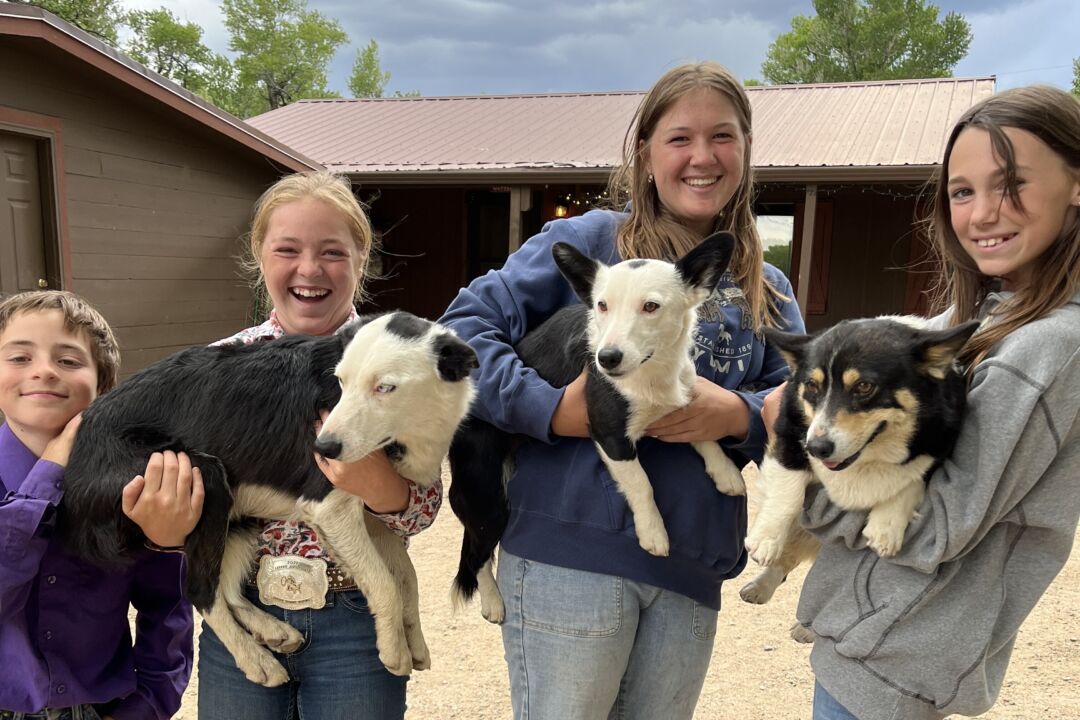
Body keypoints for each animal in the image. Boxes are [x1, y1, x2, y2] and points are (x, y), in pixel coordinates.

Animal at [56, 313, 475, 686]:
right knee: (201, 591)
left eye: (385, 388)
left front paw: (414, 640)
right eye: (341, 381)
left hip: (238, 514)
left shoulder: (370, 511)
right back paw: (256, 660)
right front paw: (394, 650)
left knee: (227, 591)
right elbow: (385, 584)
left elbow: (405, 575)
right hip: (207, 478)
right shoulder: (330, 506)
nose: (322, 448)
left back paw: (271, 629)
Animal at [447, 234, 743, 621]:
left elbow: (705, 435)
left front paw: (725, 472)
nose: (607, 359)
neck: (651, 372)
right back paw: (493, 602)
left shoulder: (684, 404)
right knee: (477, 554)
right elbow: (642, 484)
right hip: (487, 498)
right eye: (602, 306)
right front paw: (653, 531)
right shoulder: (610, 434)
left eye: (651, 307)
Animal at [743, 315, 980, 643]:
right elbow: (787, 489)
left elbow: (912, 478)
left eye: (864, 386)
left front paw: (886, 527)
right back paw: (760, 586)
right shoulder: (790, 433)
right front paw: (765, 539)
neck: (868, 457)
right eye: (811, 386)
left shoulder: (937, 449)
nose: (817, 448)